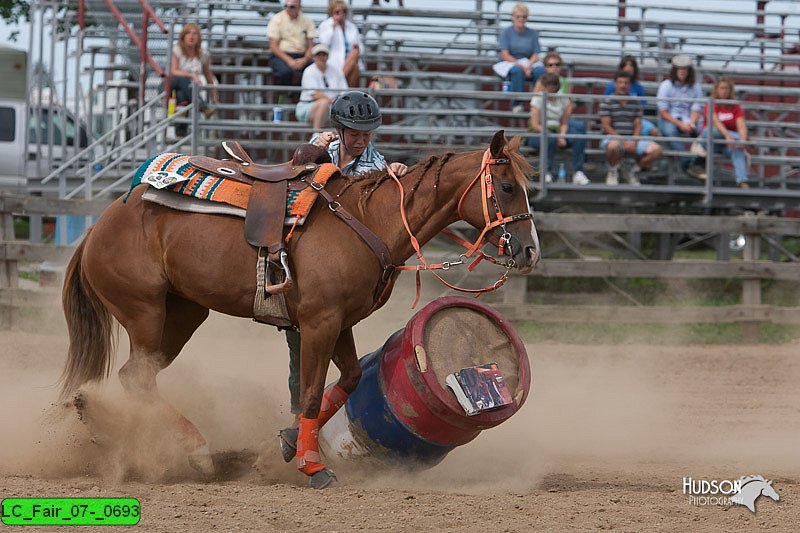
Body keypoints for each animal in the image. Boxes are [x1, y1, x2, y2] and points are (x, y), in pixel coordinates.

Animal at [59, 130, 540, 486]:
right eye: (507, 187)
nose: (531, 251)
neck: (367, 218)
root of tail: (99, 226)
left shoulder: (340, 323)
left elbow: (345, 381)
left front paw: (290, 443)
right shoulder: (318, 323)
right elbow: (309, 391)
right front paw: (314, 467)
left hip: (182, 314)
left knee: (137, 376)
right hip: (145, 311)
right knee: (138, 376)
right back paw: (193, 452)